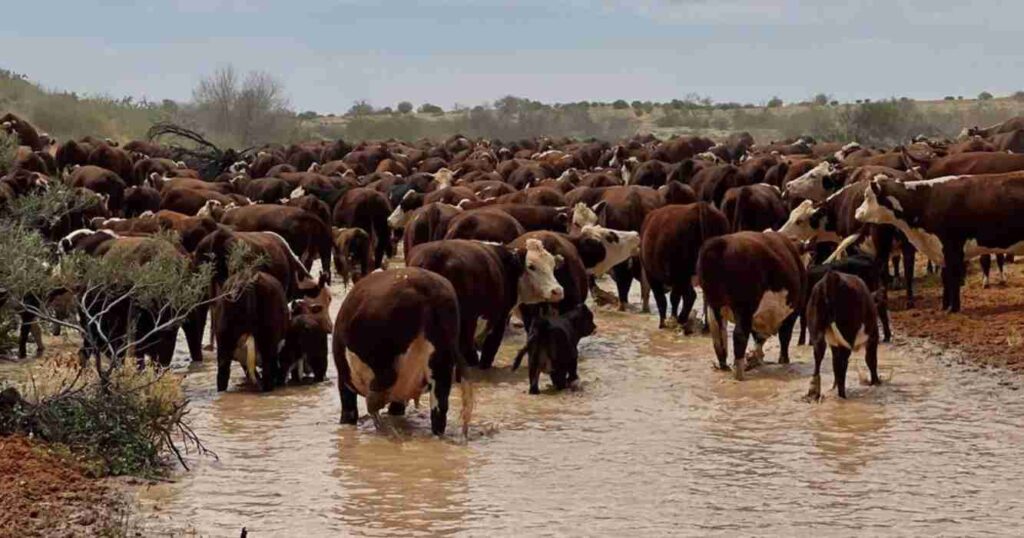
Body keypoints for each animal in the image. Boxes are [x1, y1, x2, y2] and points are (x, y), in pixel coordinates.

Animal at [696, 230, 806, 377]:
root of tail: (721, 243)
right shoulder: (792, 313)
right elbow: (784, 338)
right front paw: (783, 361)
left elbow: (758, 338)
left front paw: (756, 359)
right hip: (744, 308)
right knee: (739, 335)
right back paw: (739, 373)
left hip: (714, 306)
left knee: (719, 339)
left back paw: (725, 367)